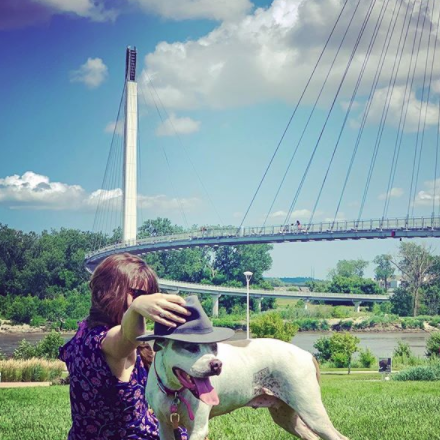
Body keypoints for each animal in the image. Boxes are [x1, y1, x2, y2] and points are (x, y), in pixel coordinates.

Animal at [139, 296, 348, 440]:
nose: (216, 364)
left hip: (311, 411)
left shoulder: (197, 429)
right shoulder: (165, 427)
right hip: (285, 415)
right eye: (190, 347)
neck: (174, 391)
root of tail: (307, 354)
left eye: (214, 347)